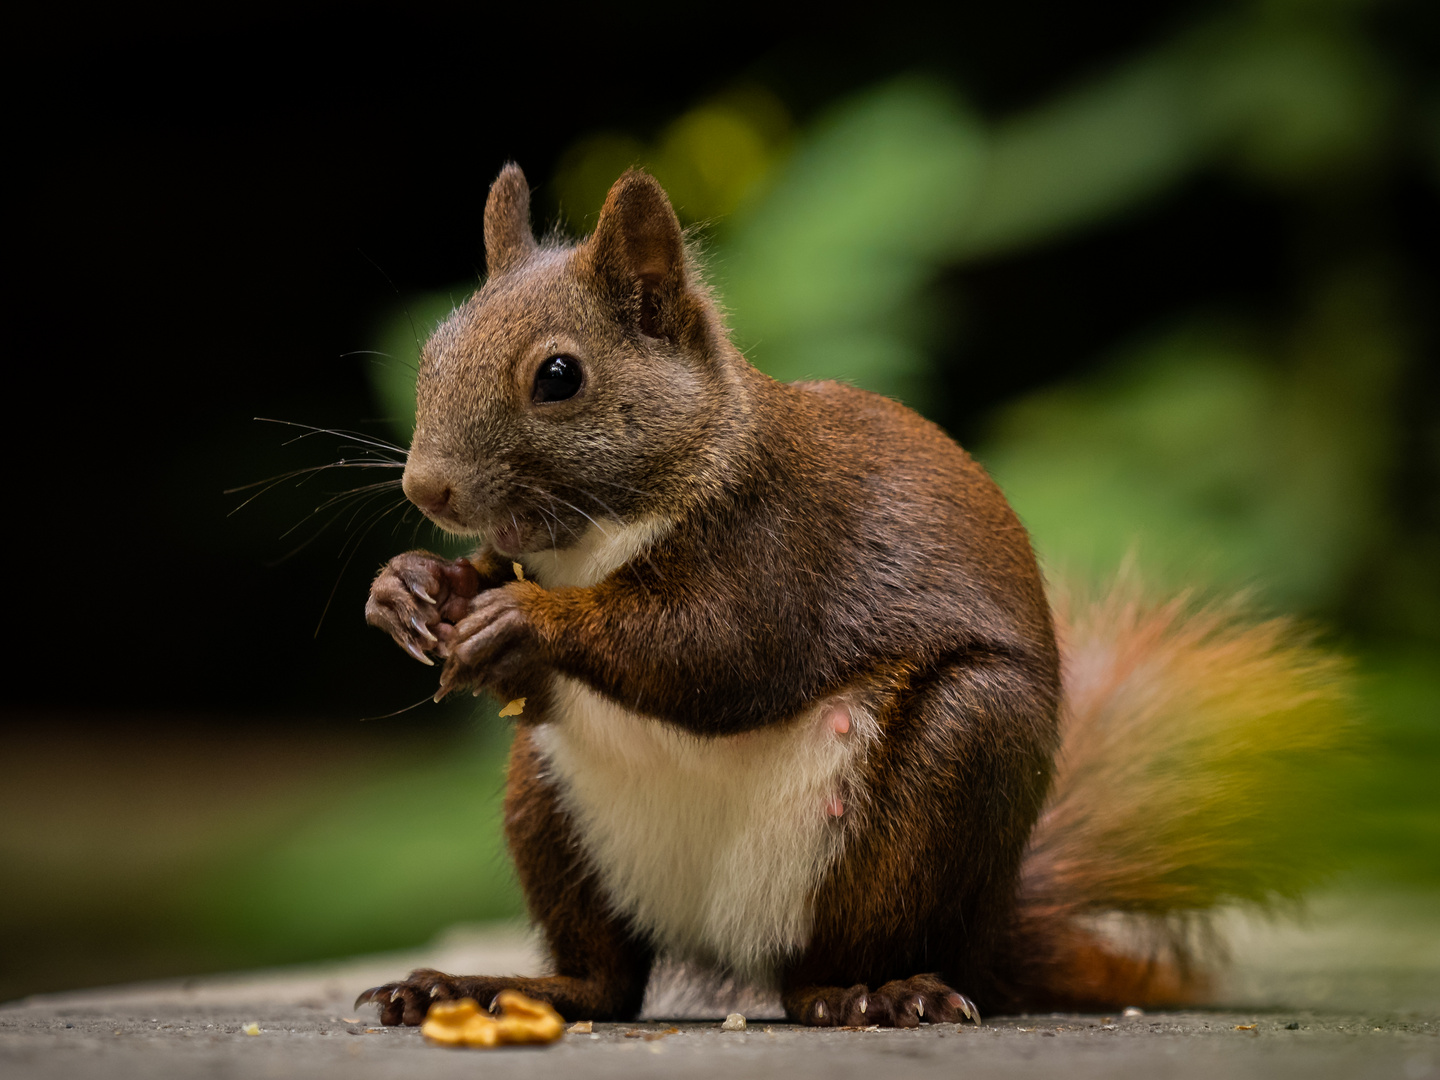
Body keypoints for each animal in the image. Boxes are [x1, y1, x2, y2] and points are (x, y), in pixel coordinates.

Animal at [354, 164, 1342, 1025]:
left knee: (830, 966)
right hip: (545, 804)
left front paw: (524, 621)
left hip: (948, 774)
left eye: (559, 376)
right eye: (433, 349)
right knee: (609, 981)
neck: (598, 539)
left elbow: (711, 656)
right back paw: (484, 989)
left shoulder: (779, 550)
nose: (426, 489)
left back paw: (872, 994)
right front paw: (410, 587)